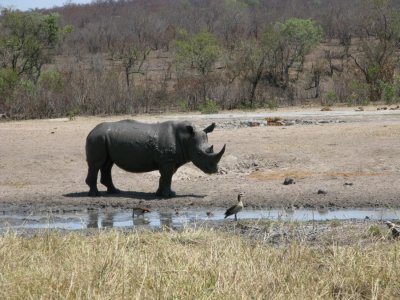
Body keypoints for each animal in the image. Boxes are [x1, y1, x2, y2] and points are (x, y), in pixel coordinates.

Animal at [85, 119, 225, 197]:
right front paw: (169, 196)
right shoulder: (167, 160)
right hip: (97, 138)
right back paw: (95, 195)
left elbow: (165, 177)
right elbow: (167, 177)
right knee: (96, 165)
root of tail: (91, 131)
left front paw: (160, 194)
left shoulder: (170, 160)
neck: (187, 139)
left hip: (103, 139)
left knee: (107, 165)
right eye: (199, 153)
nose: (214, 170)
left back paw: (114, 191)